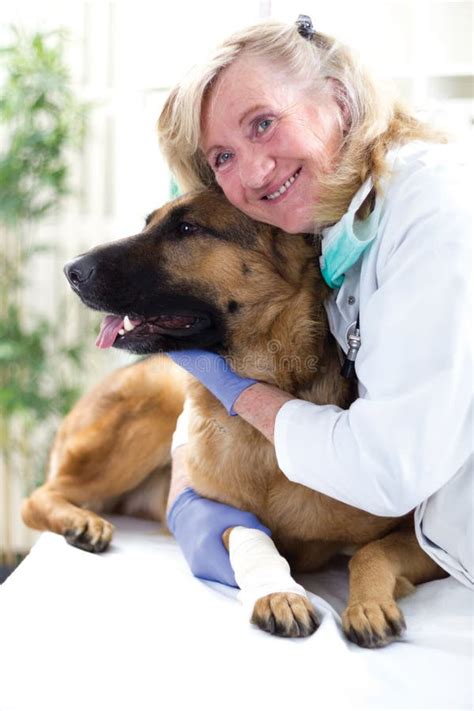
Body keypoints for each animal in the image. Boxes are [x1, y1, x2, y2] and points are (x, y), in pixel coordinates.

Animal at [21, 188, 444, 644]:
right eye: (149, 224)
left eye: (186, 228)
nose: (71, 269)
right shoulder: (210, 510)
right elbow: (247, 536)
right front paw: (279, 593)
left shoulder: (423, 541)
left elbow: (369, 552)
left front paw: (367, 604)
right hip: (152, 408)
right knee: (38, 496)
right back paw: (82, 522)